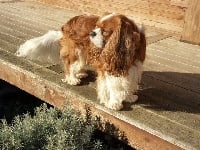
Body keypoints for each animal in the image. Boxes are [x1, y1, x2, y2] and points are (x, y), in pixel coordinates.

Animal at [15, 13, 146, 110]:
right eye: (96, 27)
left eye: (104, 31)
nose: (92, 32)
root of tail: (67, 24)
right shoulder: (108, 68)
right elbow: (113, 87)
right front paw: (114, 103)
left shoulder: (134, 68)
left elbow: (128, 84)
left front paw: (129, 96)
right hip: (75, 51)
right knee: (68, 65)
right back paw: (72, 79)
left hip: (82, 52)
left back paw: (80, 73)